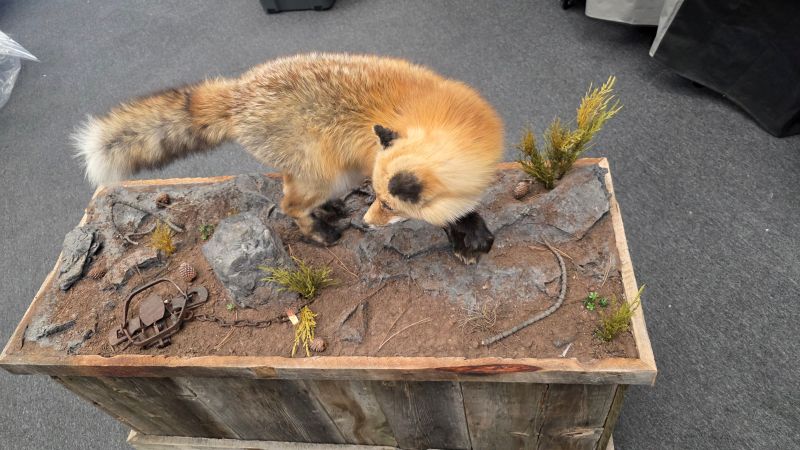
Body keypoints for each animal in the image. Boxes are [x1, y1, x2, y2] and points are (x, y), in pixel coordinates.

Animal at [74, 53, 503, 263]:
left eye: (387, 204)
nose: (367, 223)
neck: (454, 126)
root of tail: (238, 93)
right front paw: (467, 241)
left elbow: (464, 210)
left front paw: (474, 235)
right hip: (326, 175)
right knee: (288, 205)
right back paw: (321, 232)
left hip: (334, 173)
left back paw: (330, 212)